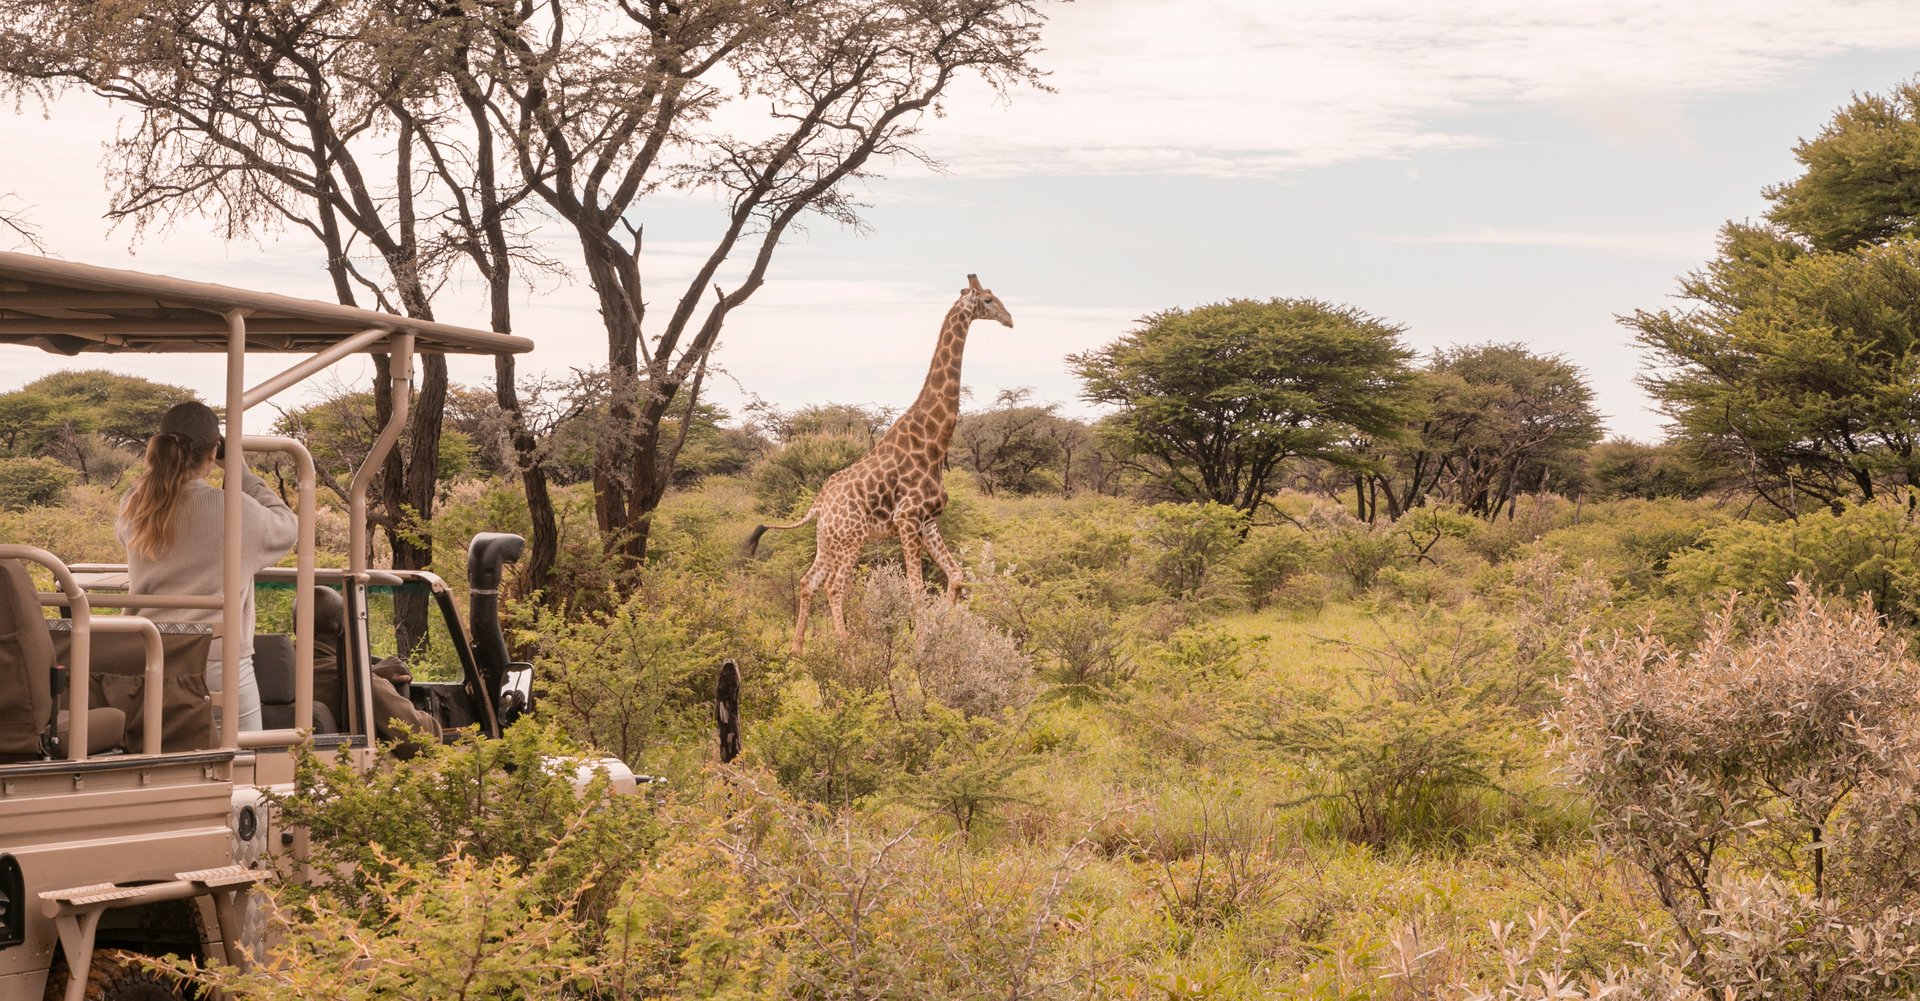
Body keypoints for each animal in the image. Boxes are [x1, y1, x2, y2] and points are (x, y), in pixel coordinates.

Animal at [748, 272, 1021, 653]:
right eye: (988, 300)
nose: (1010, 320)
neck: (932, 444)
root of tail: (818, 504)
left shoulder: (929, 522)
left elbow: (955, 576)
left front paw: (945, 635)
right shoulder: (907, 520)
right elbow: (917, 588)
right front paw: (922, 648)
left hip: (829, 540)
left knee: (808, 580)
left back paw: (797, 650)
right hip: (853, 538)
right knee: (834, 586)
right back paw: (846, 648)